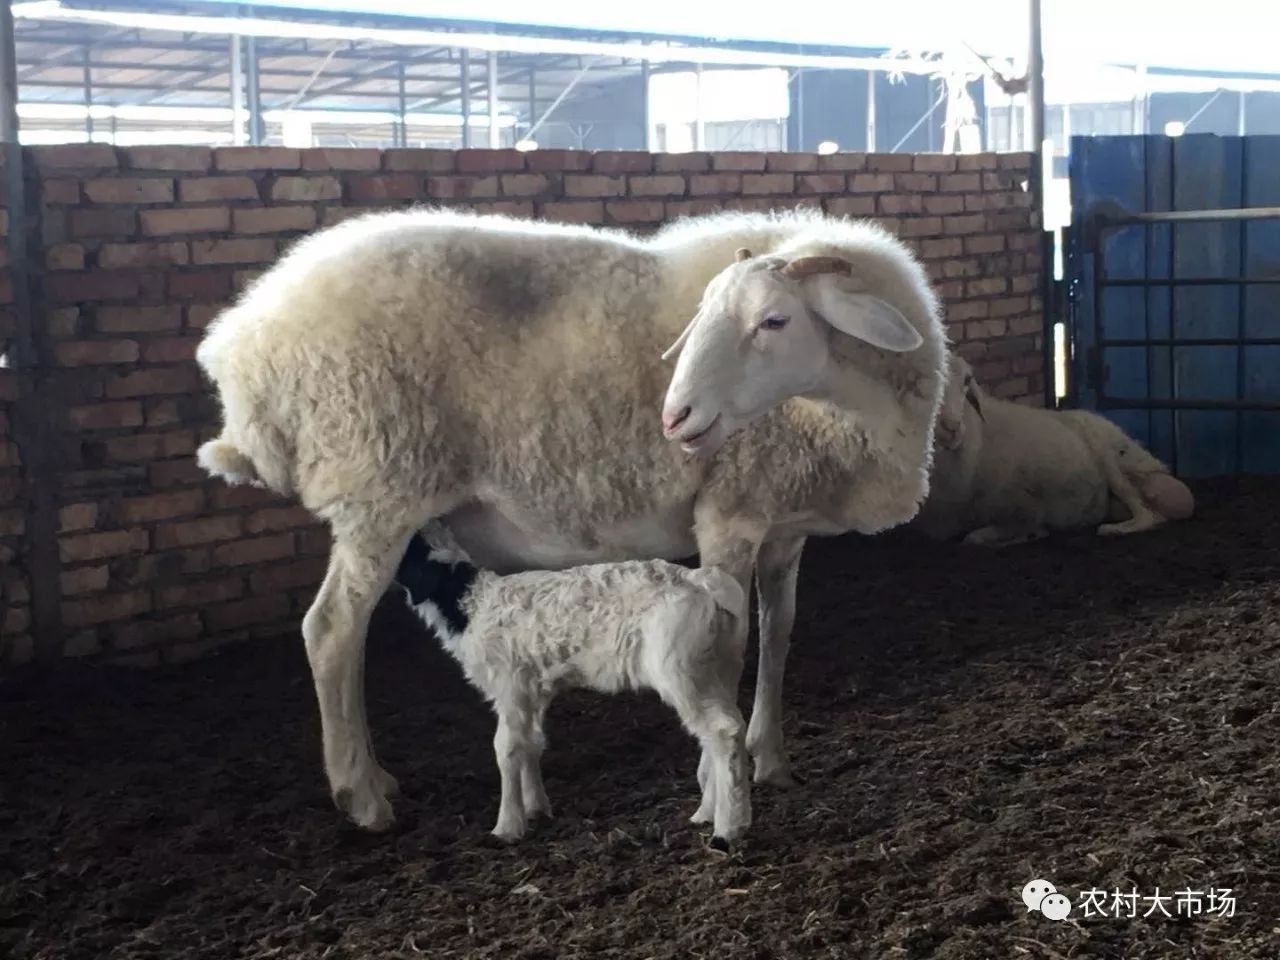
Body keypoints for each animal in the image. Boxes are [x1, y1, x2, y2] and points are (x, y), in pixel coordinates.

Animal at [389, 522, 747, 844]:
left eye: (405, 551)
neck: (468, 603)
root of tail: (701, 581)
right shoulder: (535, 689)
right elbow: (532, 742)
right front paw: (536, 807)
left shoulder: (510, 685)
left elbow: (506, 748)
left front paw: (508, 825)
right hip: (720, 666)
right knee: (724, 730)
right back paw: (708, 813)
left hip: (680, 669)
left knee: (721, 731)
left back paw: (727, 829)